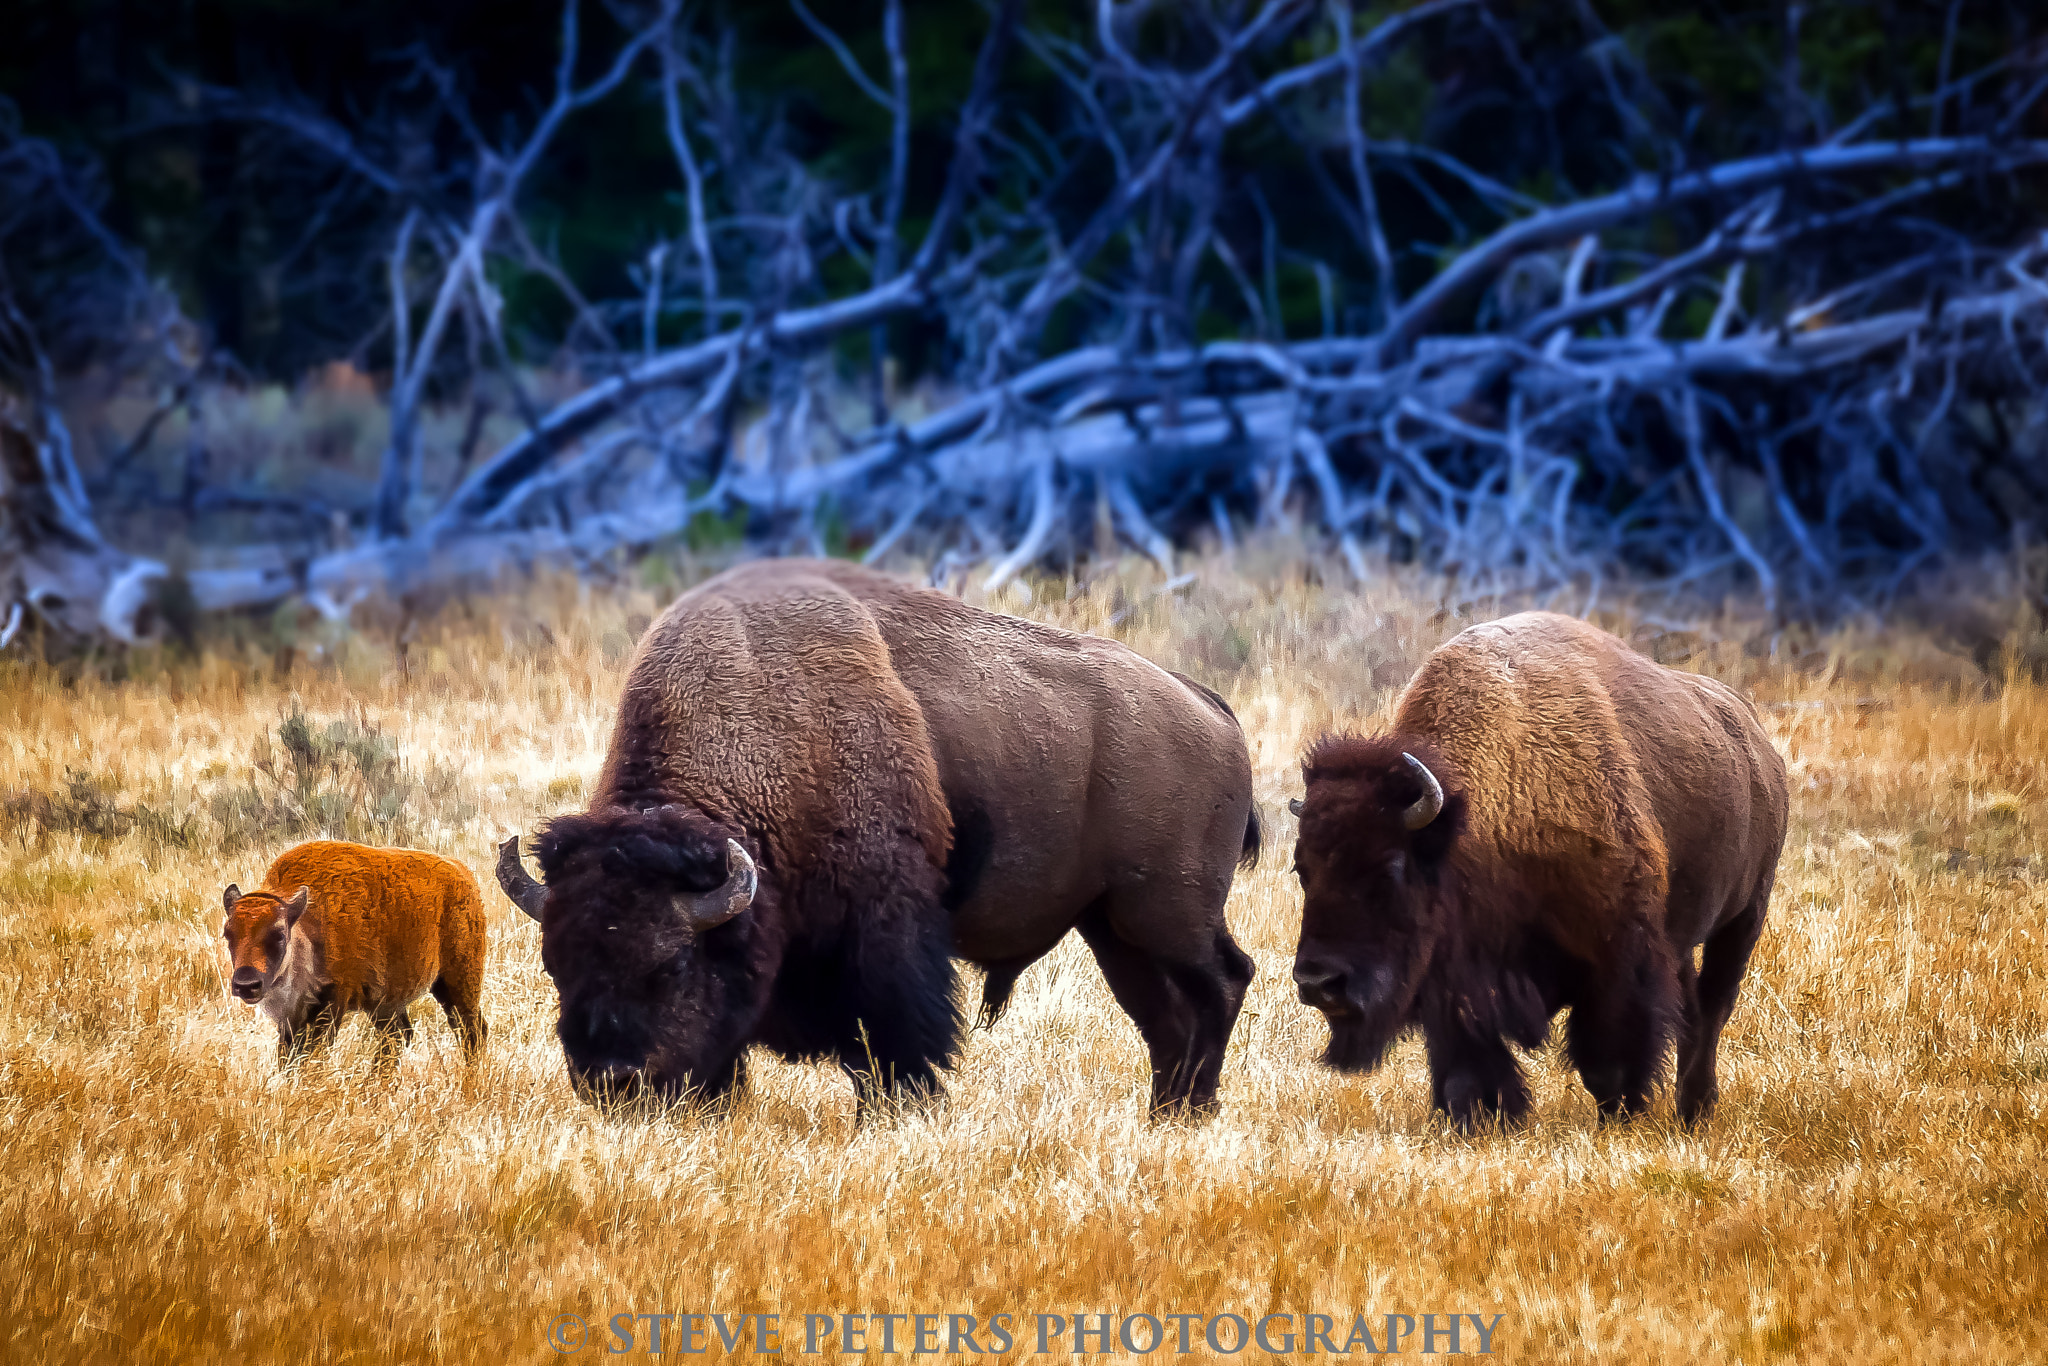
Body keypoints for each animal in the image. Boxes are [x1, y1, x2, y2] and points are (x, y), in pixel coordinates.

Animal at [499, 561, 1261, 1114]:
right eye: (556, 967)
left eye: (669, 965)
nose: (609, 1080)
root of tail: (1206, 705)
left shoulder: (883, 932)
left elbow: (889, 1037)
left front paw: (900, 1111)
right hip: (1112, 928)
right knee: (1164, 1017)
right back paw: (1167, 1112)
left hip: (1166, 915)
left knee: (1223, 982)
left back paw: (1193, 1110)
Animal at [1294, 614, 1794, 1130]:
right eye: (1302, 870)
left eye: (1389, 871)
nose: (1318, 983)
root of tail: (1760, 746)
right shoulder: (1457, 981)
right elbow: (1467, 1065)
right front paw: (1480, 1117)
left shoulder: (1618, 957)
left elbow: (1609, 1058)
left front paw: (1621, 1115)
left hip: (1744, 917)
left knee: (1713, 1006)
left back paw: (1695, 1108)